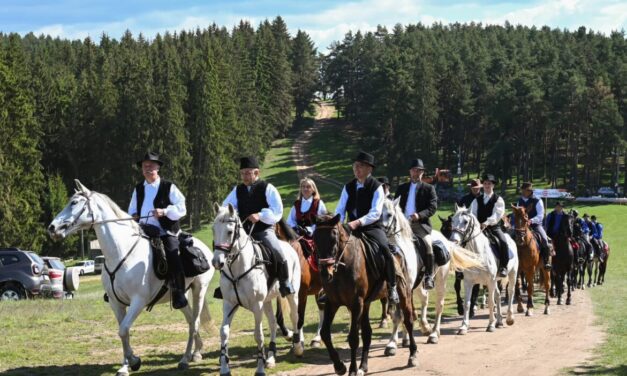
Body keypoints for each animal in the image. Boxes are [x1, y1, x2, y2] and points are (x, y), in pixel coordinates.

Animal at [47, 181, 215, 374]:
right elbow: (123, 332)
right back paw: (196, 352)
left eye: (74, 203)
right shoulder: (116, 302)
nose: (52, 228)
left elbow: (123, 329)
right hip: (181, 296)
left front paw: (134, 361)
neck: (121, 252)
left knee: (194, 322)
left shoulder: (138, 301)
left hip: (199, 291)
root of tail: (205, 249)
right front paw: (126, 365)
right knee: (190, 321)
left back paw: (186, 359)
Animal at [211, 206, 304, 376]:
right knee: (273, 323)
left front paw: (259, 369)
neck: (238, 268)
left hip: (291, 295)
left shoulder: (256, 305)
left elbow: (258, 336)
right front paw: (224, 368)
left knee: (295, 317)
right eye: (214, 229)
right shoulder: (229, 304)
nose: (217, 262)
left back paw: (298, 347)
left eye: (229, 231)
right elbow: (224, 332)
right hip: (266, 301)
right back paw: (271, 357)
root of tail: (289, 247)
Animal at [314, 214, 418, 376]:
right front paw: (339, 366)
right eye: (315, 239)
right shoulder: (333, 302)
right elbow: (325, 333)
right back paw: (363, 366)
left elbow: (353, 338)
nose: (325, 273)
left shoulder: (356, 303)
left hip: (403, 295)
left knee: (408, 321)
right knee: (367, 333)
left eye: (334, 236)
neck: (342, 268)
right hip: (366, 304)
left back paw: (412, 355)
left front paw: (351, 370)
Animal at [382, 198, 480, 352]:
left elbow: (400, 314)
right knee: (424, 299)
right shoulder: (394, 289)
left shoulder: (405, 288)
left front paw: (392, 343)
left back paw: (433, 333)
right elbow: (400, 313)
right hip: (418, 286)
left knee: (439, 304)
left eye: (390, 214)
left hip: (440, 281)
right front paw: (397, 341)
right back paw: (422, 328)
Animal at [452, 206, 520, 334]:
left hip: (512, 274)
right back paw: (499, 321)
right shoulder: (468, 282)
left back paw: (509, 318)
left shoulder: (490, 281)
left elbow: (490, 302)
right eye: (452, 220)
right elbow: (467, 303)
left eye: (465, 222)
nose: (454, 241)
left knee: (510, 291)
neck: (478, 253)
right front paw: (463, 326)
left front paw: (490, 325)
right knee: (498, 295)